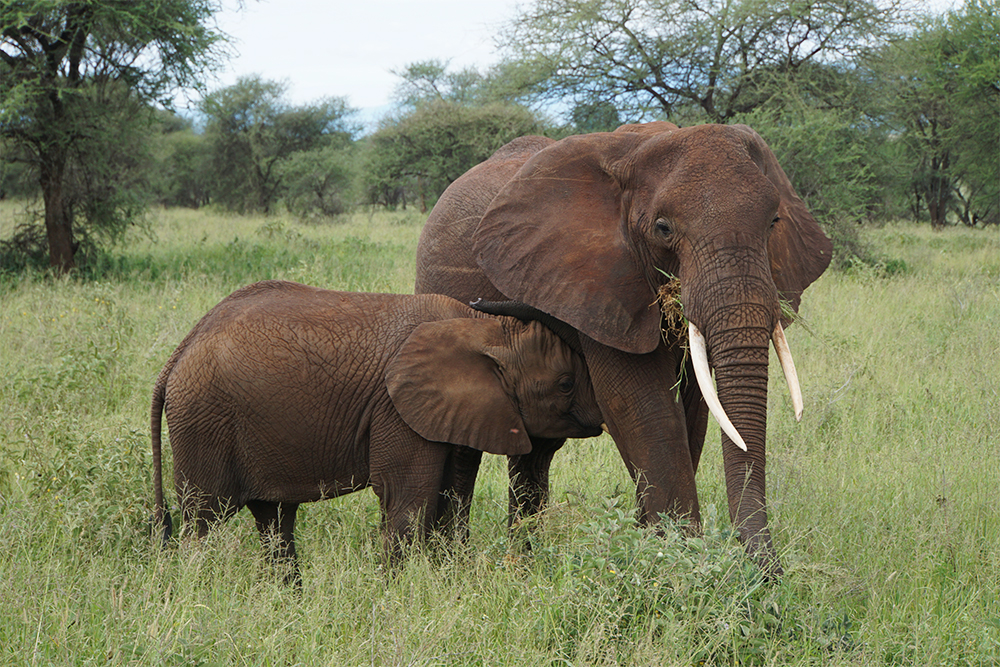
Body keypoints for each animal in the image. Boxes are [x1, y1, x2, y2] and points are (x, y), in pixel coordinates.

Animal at [150, 280, 600, 576]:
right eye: (565, 384)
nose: (600, 418)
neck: (481, 325)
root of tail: (178, 354)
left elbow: (450, 498)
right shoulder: (396, 409)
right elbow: (408, 501)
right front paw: (395, 597)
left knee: (274, 520)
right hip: (204, 419)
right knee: (203, 520)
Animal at [414, 120, 836, 576]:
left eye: (774, 221)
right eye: (663, 228)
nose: (770, 574)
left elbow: (693, 410)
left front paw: (655, 545)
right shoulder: (593, 284)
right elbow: (643, 406)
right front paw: (677, 562)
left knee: (536, 449)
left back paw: (523, 559)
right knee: (465, 444)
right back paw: (454, 557)